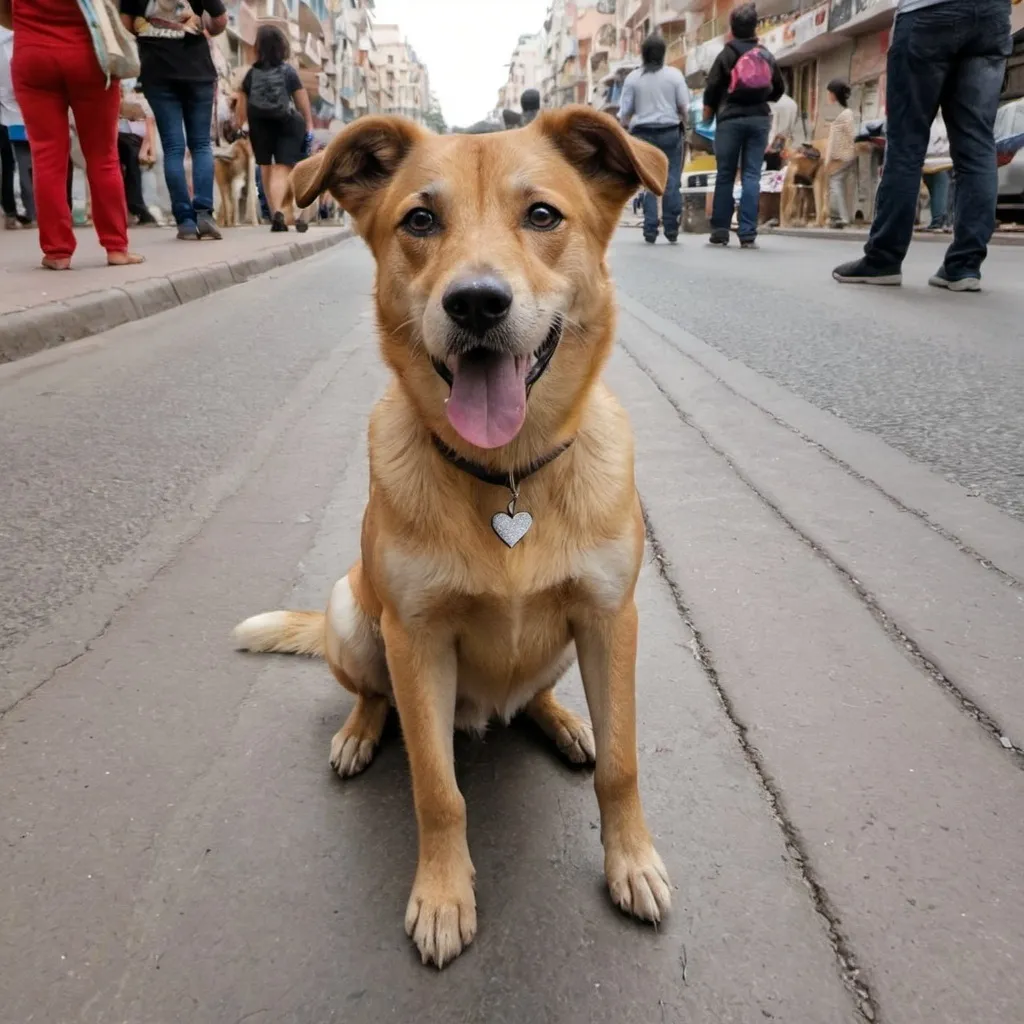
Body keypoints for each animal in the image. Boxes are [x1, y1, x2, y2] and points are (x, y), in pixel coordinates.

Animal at [235, 108, 675, 970]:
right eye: (420, 221)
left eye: (542, 215)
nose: (475, 304)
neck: (506, 479)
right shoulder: (417, 640)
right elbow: (436, 790)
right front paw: (443, 896)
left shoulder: (613, 620)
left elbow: (622, 765)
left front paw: (631, 859)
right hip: (353, 615)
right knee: (377, 697)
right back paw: (360, 733)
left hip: (564, 647)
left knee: (535, 696)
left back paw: (563, 722)